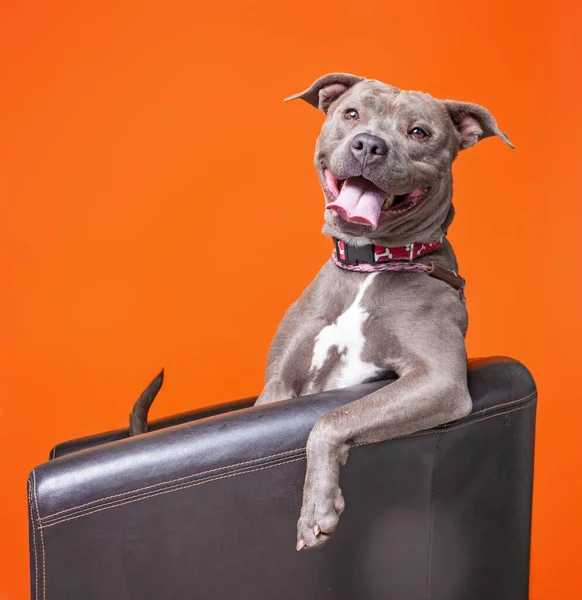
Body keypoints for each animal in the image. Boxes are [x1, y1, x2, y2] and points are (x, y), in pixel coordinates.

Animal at [256, 72, 516, 552]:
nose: (369, 145)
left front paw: (316, 508)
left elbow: (331, 418)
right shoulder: (276, 389)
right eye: (351, 113)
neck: (369, 264)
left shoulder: (438, 381)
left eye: (419, 132)